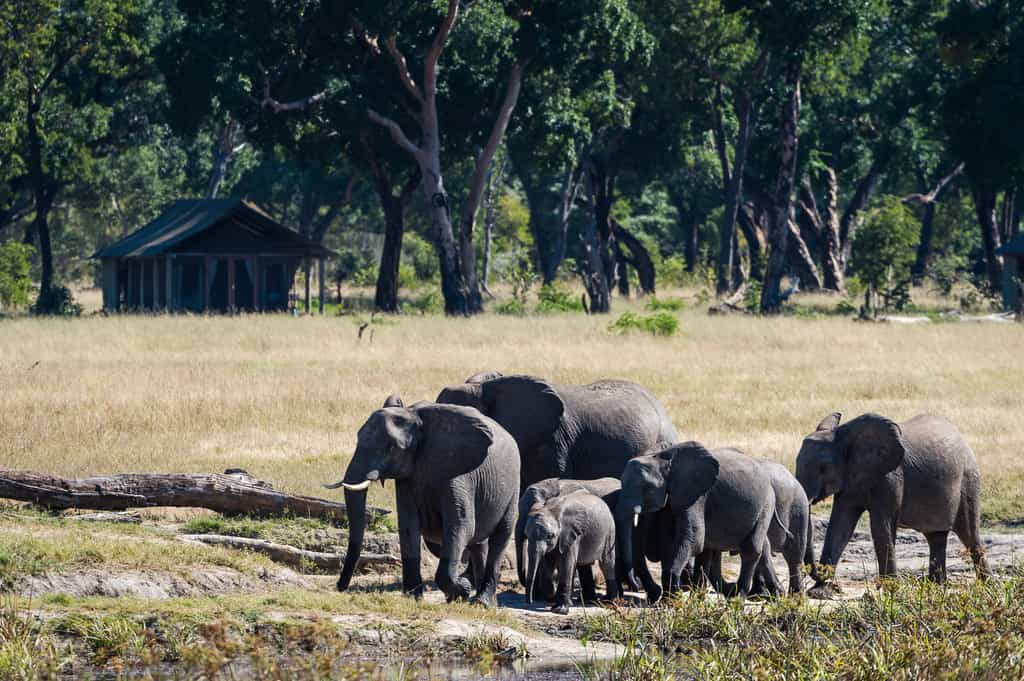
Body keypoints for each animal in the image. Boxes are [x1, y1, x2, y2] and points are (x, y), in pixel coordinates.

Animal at [325, 398, 520, 607]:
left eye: (391, 448)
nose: (339, 587)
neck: (415, 418)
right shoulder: (408, 477)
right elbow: (408, 526)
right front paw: (414, 598)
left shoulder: (459, 472)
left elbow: (461, 525)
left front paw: (461, 590)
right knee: (479, 544)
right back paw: (477, 599)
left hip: (513, 486)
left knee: (500, 538)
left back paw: (482, 603)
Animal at [617, 442, 786, 599]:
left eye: (647, 488)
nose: (636, 587)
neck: (660, 458)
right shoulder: (672, 499)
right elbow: (671, 541)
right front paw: (671, 597)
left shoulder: (696, 495)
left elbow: (693, 538)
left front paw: (672, 598)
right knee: (751, 547)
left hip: (765, 504)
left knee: (751, 548)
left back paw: (738, 597)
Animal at [795, 412, 990, 584]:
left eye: (823, 468)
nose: (834, 584)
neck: (844, 437)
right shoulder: (851, 478)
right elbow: (840, 524)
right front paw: (819, 592)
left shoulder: (890, 476)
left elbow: (881, 527)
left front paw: (891, 587)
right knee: (936, 537)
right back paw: (937, 586)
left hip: (969, 480)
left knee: (970, 536)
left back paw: (985, 585)